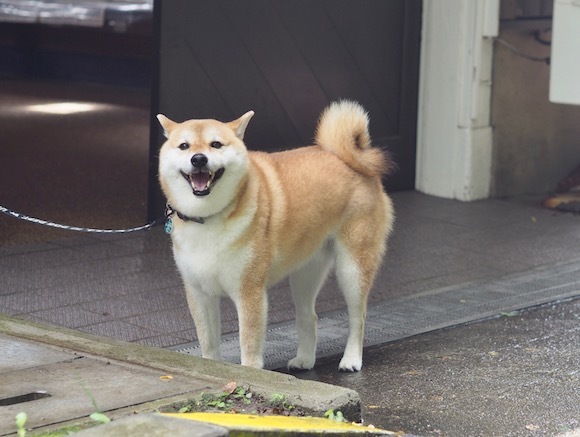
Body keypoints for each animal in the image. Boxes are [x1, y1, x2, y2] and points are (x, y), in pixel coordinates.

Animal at [159, 100, 394, 370]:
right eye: (184, 146)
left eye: (216, 144)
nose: (198, 159)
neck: (210, 218)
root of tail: (344, 157)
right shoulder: (199, 292)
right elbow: (208, 343)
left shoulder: (250, 292)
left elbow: (249, 344)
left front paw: (251, 372)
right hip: (305, 273)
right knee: (308, 315)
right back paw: (305, 360)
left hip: (352, 268)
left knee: (358, 316)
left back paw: (351, 359)